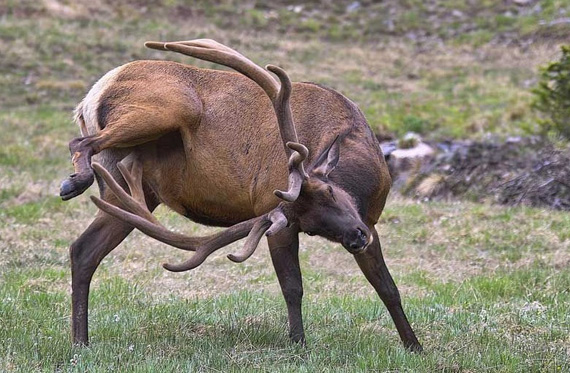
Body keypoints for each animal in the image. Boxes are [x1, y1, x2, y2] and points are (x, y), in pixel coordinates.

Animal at [60, 39, 420, 350]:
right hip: (169, 108)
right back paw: (74, 182)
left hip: (131, 193)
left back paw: (81, 342)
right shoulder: (277, 218)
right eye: (310, 224)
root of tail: (91, 97)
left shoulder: (369, 221)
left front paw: (414, 345)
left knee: (84, 249)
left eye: (330, 191)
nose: (356, 238)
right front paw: (298, 343)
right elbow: (293, 286)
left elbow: (387, 286)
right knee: (80, 144)